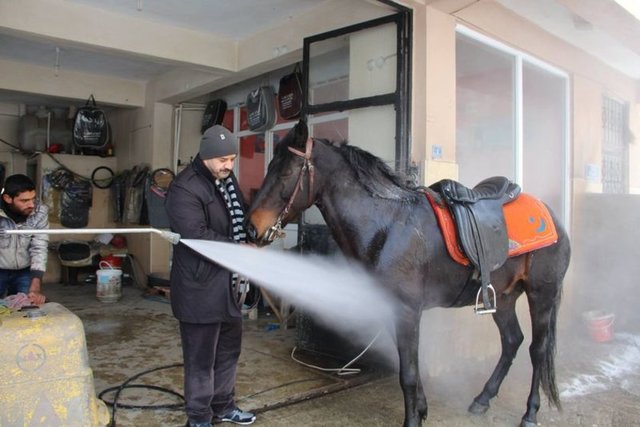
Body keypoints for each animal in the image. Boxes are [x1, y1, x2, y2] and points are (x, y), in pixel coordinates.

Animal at [245, 120, 568, 427]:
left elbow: (408, 373)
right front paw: (422, 410)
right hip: (504, 297)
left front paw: (412, 419)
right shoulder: (392, 309)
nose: (251, 227)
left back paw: (530, 412)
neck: (388, 226)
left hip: (542, 295)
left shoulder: (408, 312)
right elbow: (410, 367)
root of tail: (551, 216)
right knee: (512, 341)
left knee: (537, 350)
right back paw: (482, 399)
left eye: (286, 172)